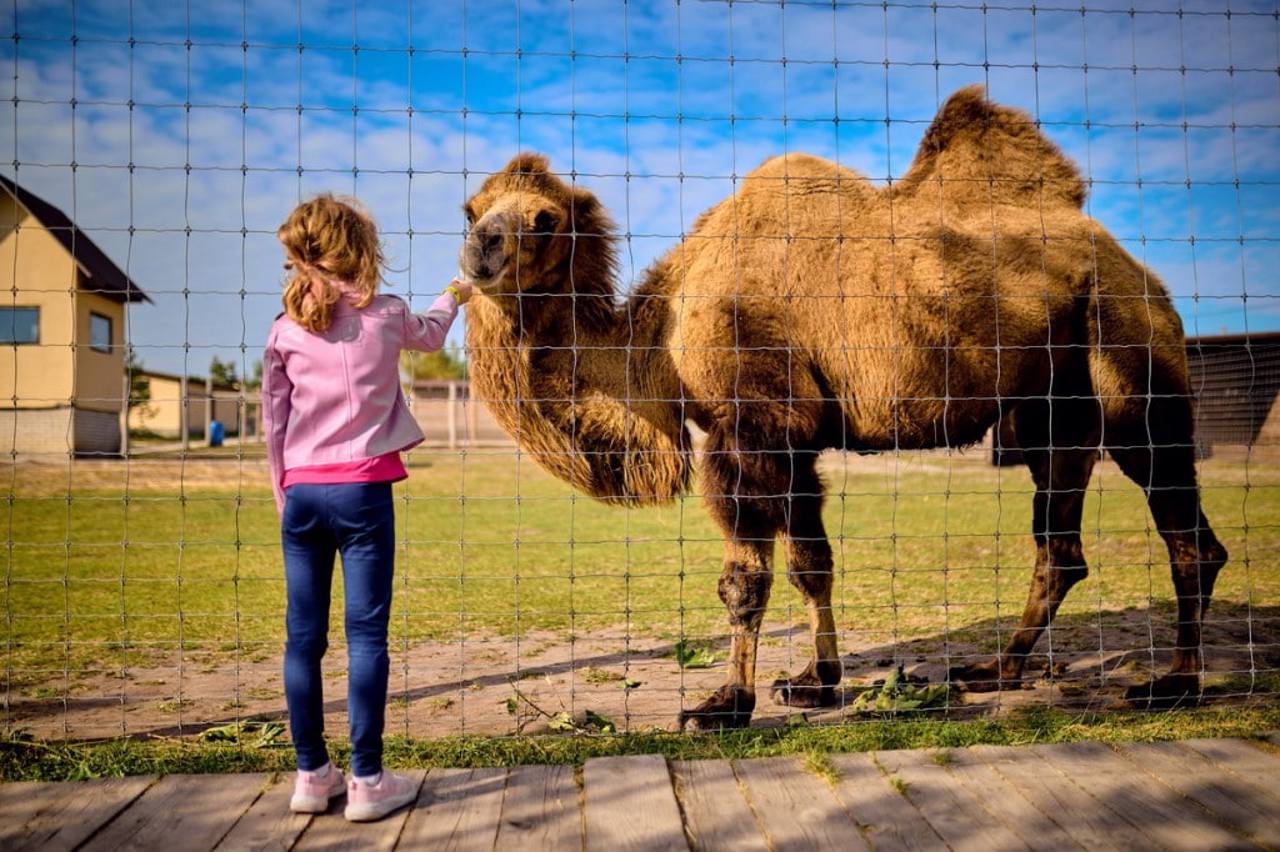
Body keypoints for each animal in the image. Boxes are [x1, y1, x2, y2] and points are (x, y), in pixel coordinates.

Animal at [455, 83, 1223, 726]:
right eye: (472, 208)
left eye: (544, 220)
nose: (480, 249)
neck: (659, 338)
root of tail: (1136, 268)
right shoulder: (789, 439)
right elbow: (811, 562)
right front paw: (814, 682)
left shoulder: (752, 425)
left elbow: (746, 579)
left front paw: (725, 703)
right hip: (1053, 405)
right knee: (1059, 547)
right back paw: (995, 670)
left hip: (1128, 351)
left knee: (1183, 528)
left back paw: (1174, 683)